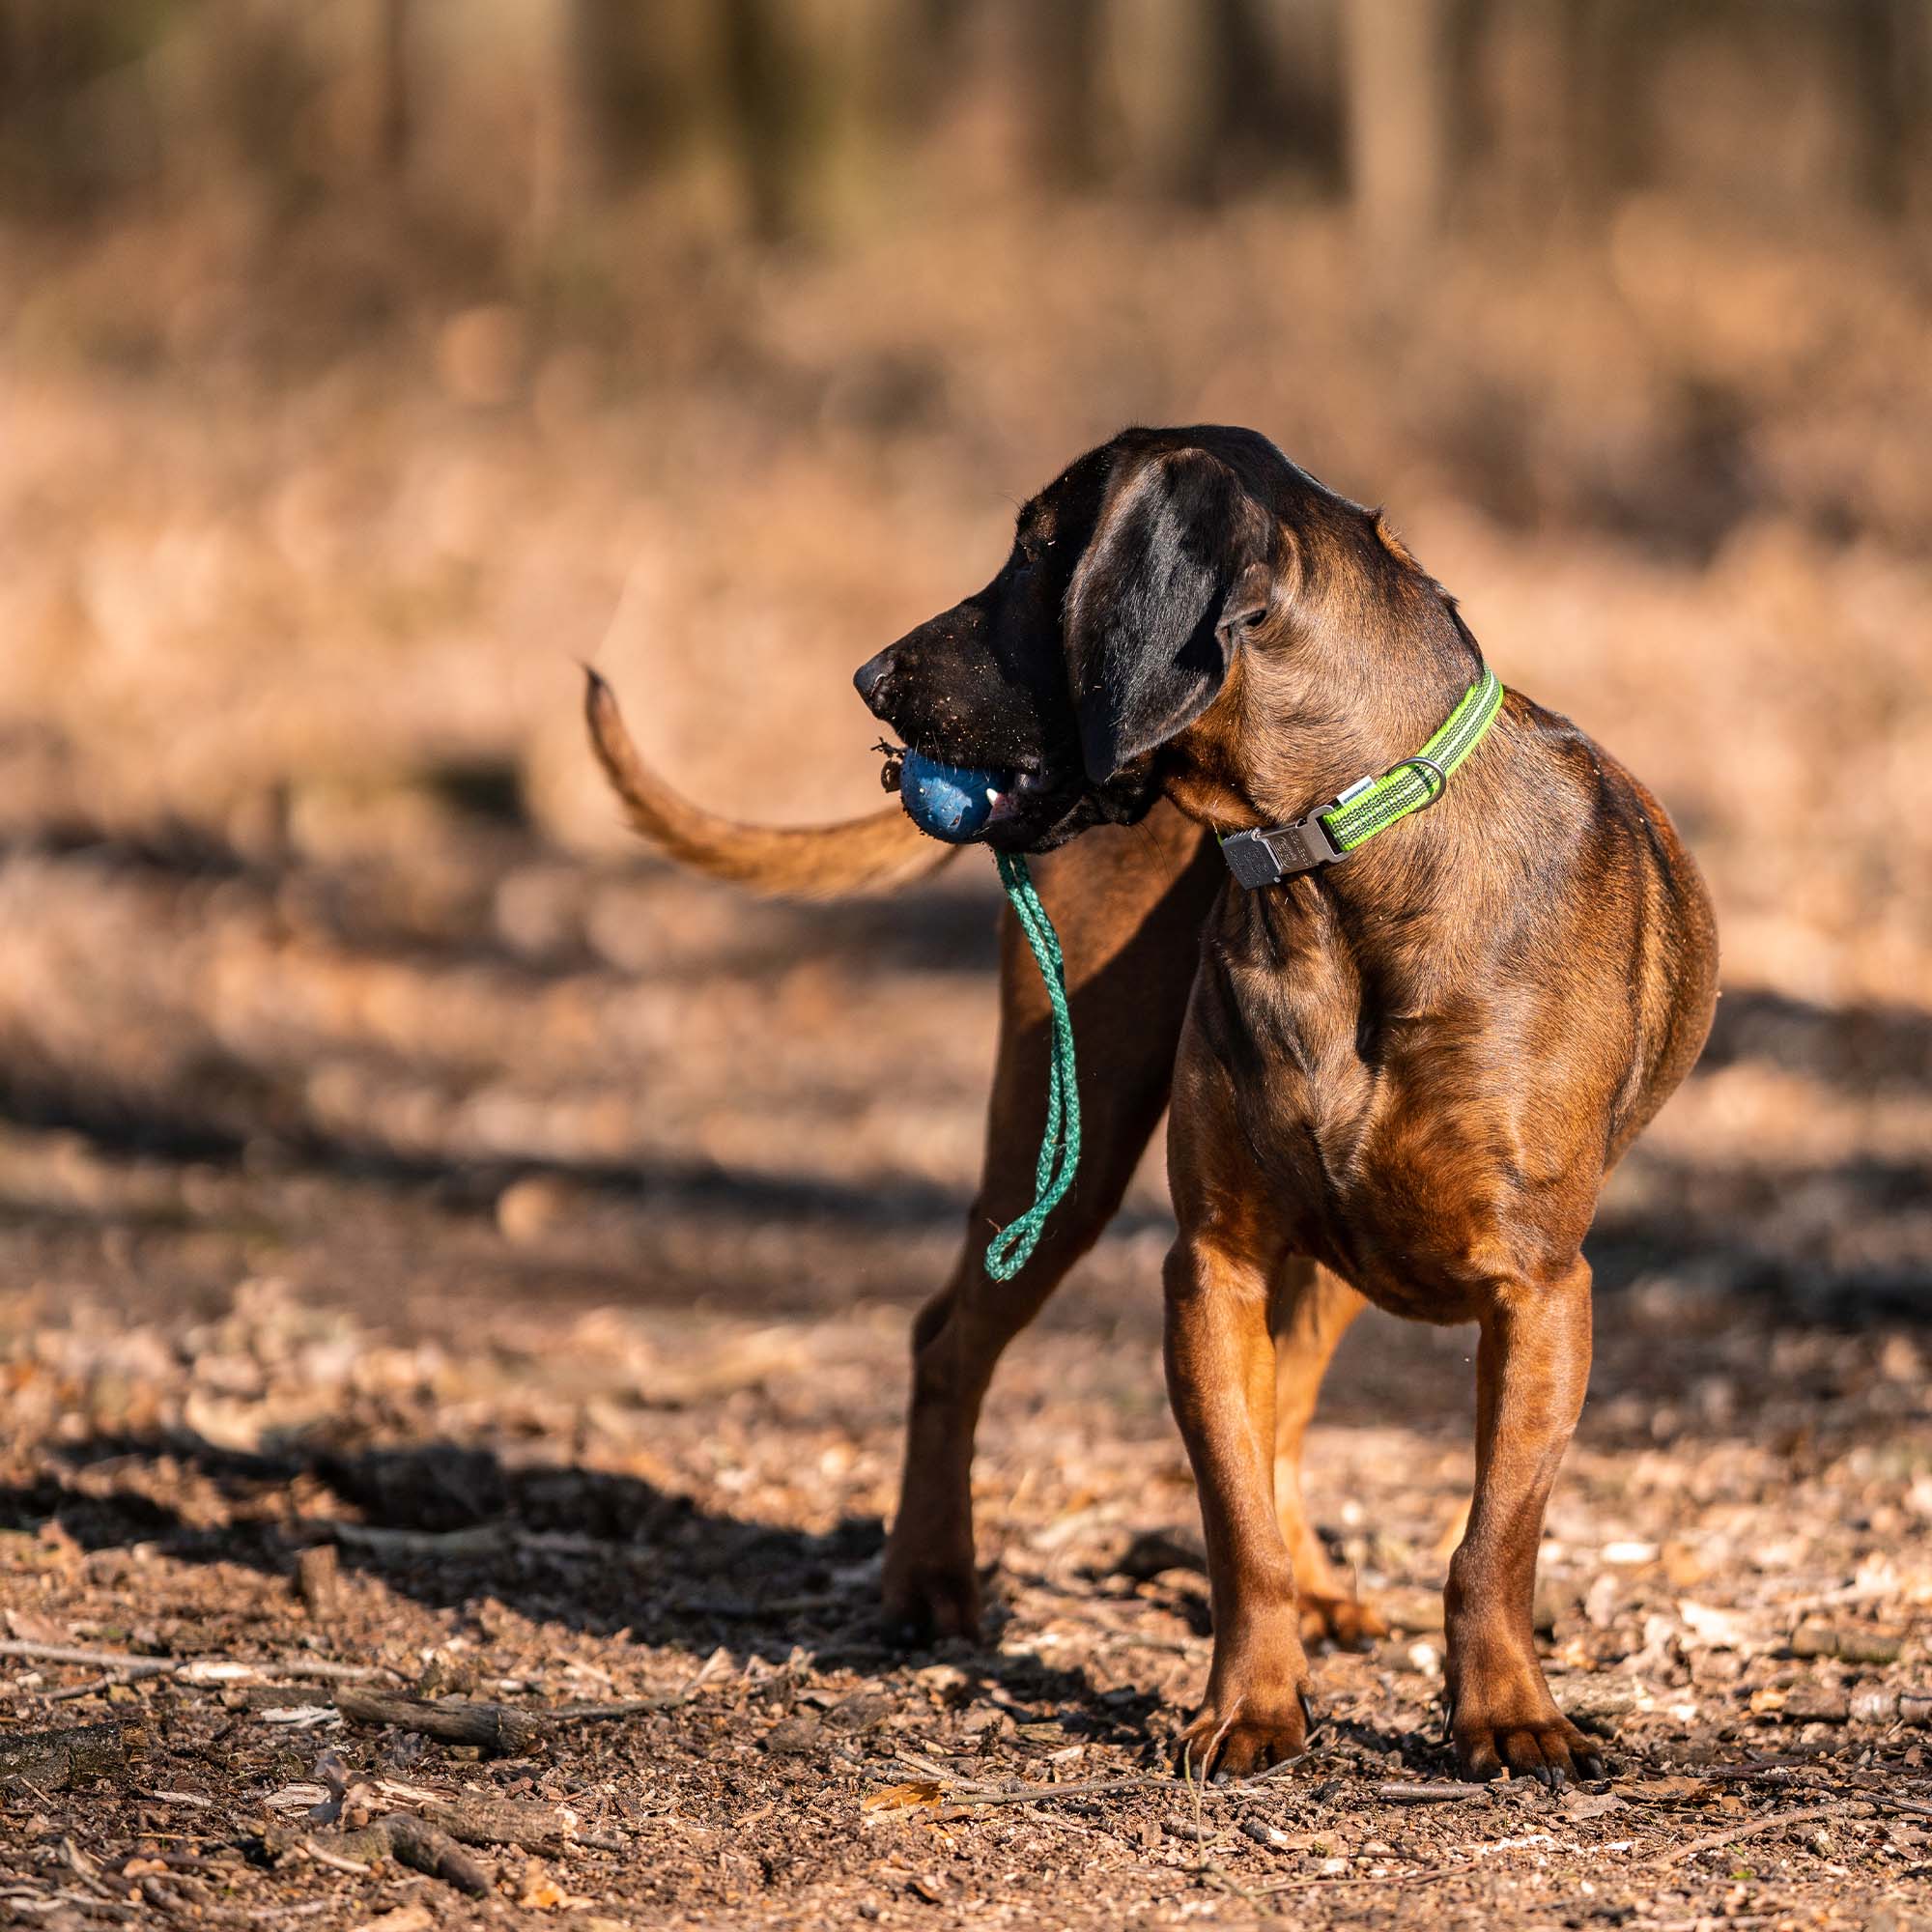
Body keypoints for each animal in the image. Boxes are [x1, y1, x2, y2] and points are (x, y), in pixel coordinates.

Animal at [587, 431, 1723, 1785]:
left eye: (1041, 547)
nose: (868, 677)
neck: (1332, 861)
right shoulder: (1212, 1264)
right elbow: (1234, 1517)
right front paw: (1251, 1707)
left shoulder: (1539, 1289)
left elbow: (1490, 1531)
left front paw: (1504, 1713)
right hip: (1062, 1153)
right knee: (949, 1337)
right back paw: (928, 1583)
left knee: (1285, 1400)